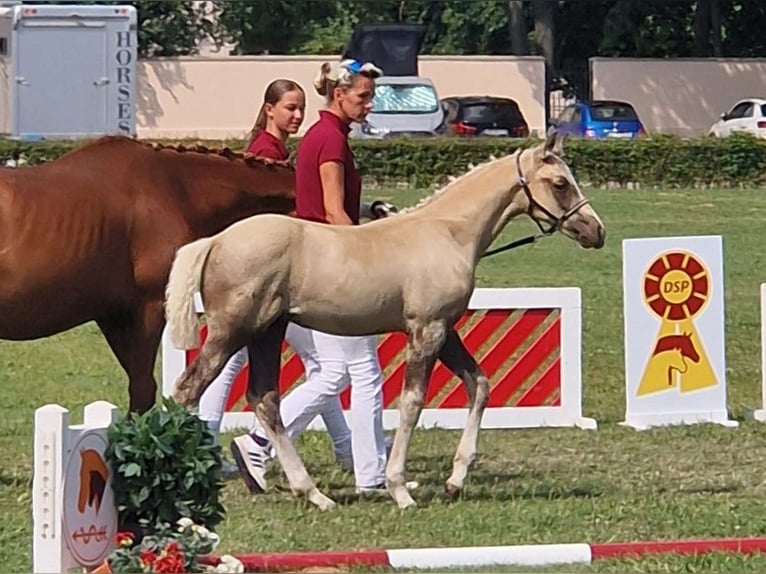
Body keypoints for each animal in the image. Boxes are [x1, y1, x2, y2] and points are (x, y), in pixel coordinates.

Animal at [166, 133, 608, 510]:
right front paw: (399, 489)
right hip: (232, 331)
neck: (447, 233)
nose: (596, 231)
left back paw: (315, 494)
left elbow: (480, 386)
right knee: (189, 389)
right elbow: (412, 403)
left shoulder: (446, 331)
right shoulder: (427, 330)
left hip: (266, 332)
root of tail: (215, 241)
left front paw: (455, 480)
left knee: (264, 399)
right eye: (560, 183)